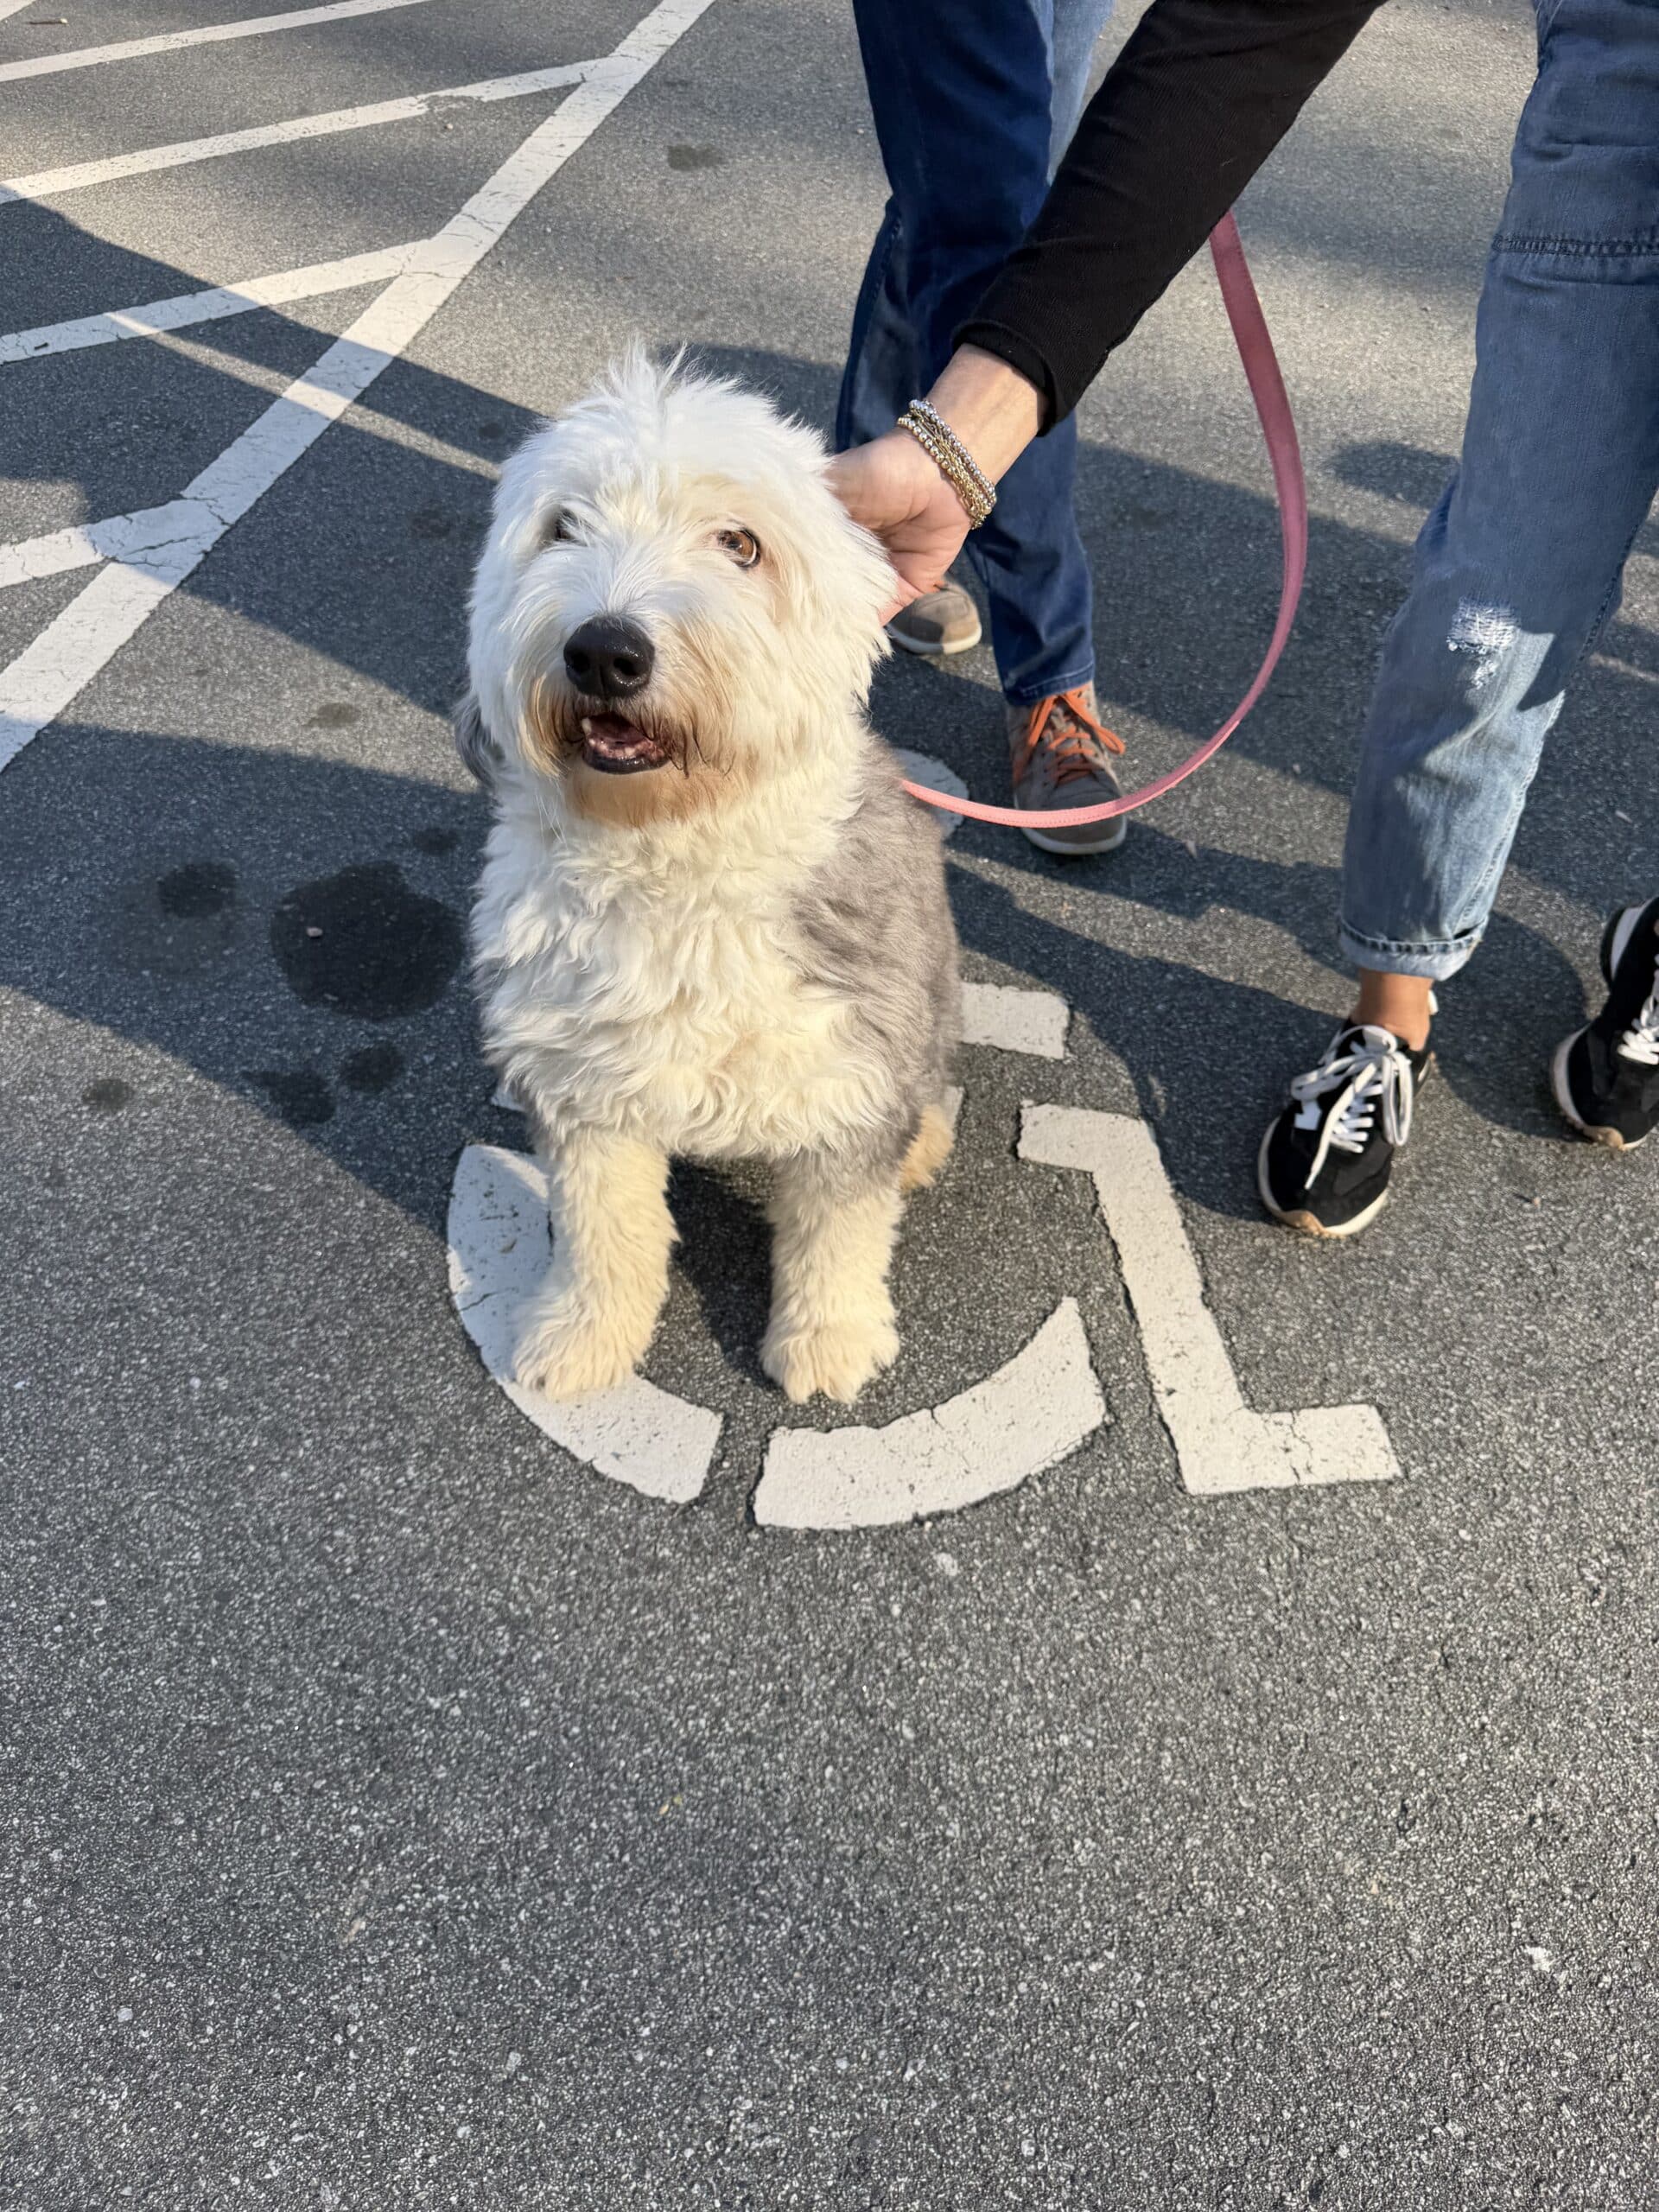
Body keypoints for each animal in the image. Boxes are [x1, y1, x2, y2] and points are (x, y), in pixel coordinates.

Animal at [458, 355, 960, 1405]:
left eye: (739, 544)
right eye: (562, 526)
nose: (606, 650)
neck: (674, 854)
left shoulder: (850, 1068)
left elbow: (839, 1228)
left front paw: (828, 1337)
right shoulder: (584, 1086)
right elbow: (602, 1229)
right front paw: (583, 1335)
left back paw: (926, 1142)